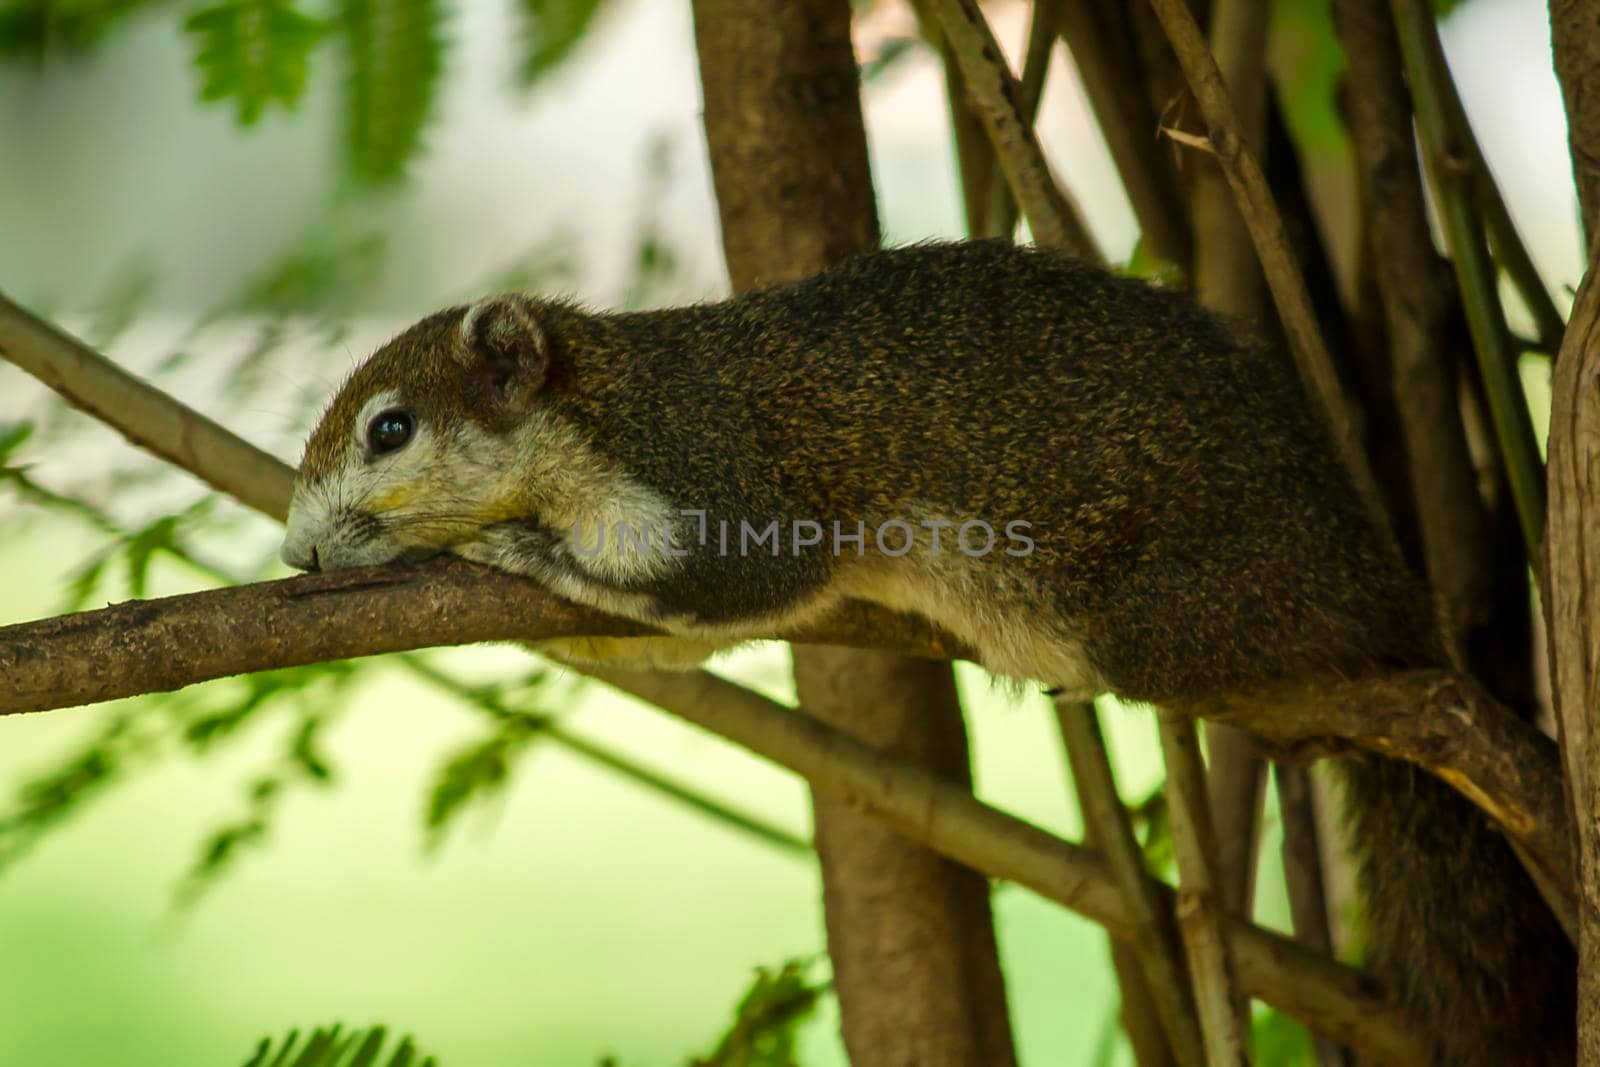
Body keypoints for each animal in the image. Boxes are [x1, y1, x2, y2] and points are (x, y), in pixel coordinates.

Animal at [281, 238, 1568, 1062]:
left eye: (390, 428)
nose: (295, 550)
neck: (606, 406)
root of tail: (1384, 595)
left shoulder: (721, 476)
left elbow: (727, 583)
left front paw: (516, 553)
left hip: (1182, 609)